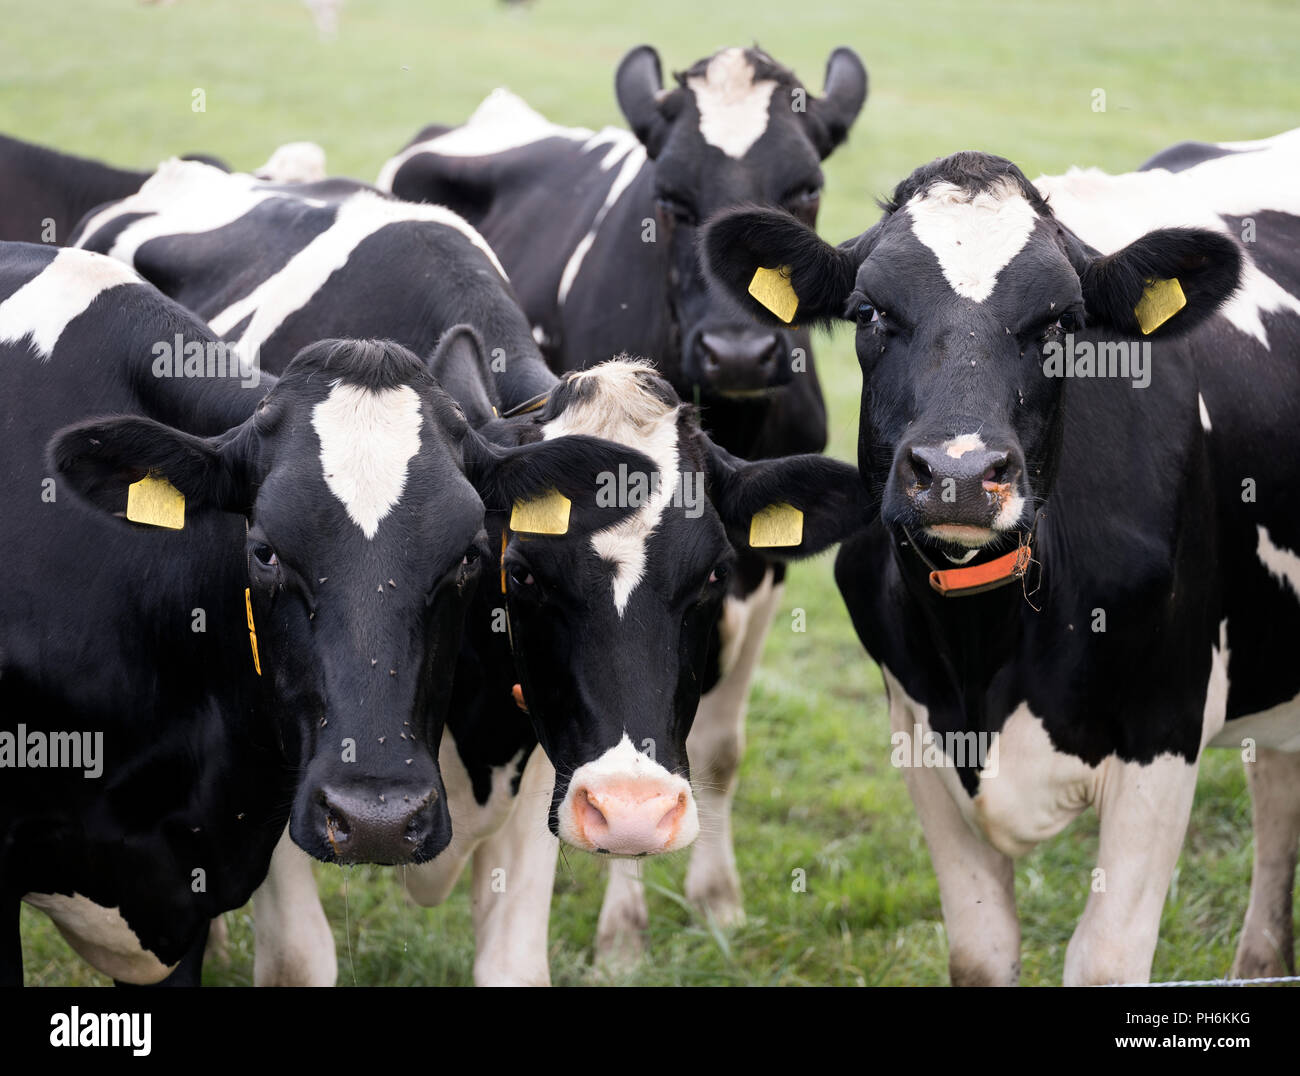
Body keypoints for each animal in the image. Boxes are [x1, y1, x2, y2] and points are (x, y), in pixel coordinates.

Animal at [377, 42, 868, 959]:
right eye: (669, 199)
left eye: (805, 191)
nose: (739, 350)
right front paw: (624, 933)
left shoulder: (762, 571)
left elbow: (717, 746)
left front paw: (716, 898)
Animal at [701, 127, 1300, 984]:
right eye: (870, 311)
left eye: (1061, 322)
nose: (956, 473)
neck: (988, 654)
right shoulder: (921, 728)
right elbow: (981, 953)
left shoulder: (1166, 730)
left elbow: (1105, 961)